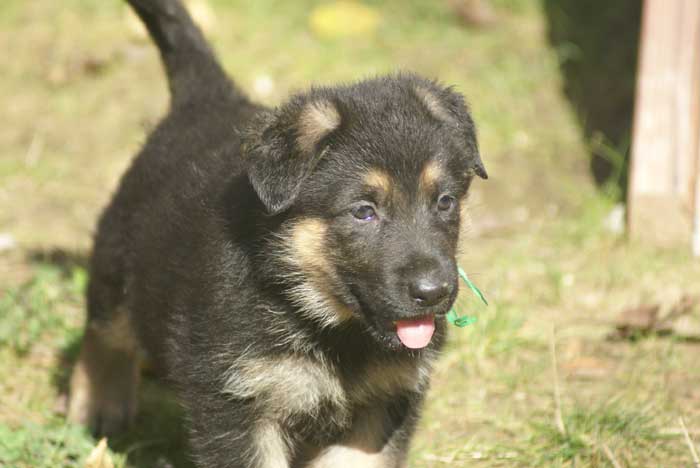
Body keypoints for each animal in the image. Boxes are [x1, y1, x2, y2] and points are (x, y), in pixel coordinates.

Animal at [69, 1, 486, 466]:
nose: (434, 293)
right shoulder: (238, 401)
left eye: (445, 202)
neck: (323, 322)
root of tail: (208, 98)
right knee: (105, 328)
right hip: (118, 263)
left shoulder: (386, 398)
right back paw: (99, 403)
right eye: (363, 212)